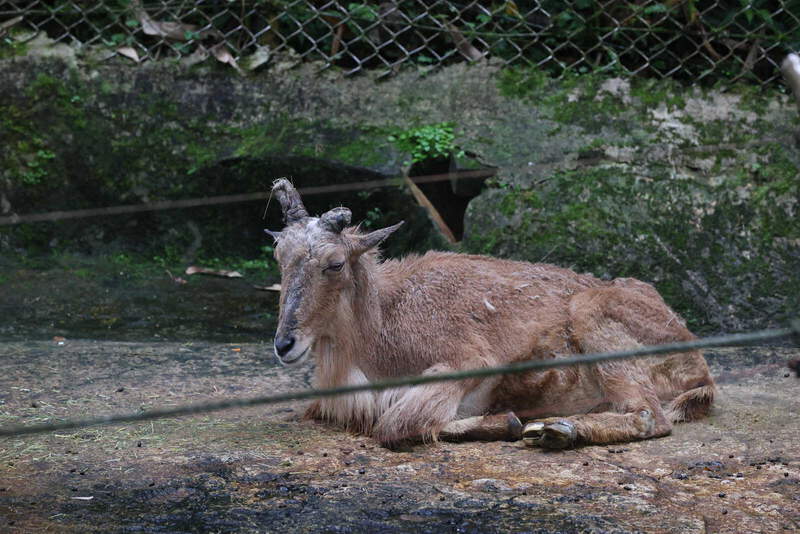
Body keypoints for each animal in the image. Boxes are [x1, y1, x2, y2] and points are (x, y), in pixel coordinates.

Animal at [266, 179, 715, 449]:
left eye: (335, 263)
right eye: (279, 256)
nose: (284, 344)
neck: (382, 325)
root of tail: (698, 363)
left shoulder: (466, 362)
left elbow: (394, 425)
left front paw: (506, 422)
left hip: (595, 319)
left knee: (650, 415)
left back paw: (558, 430)